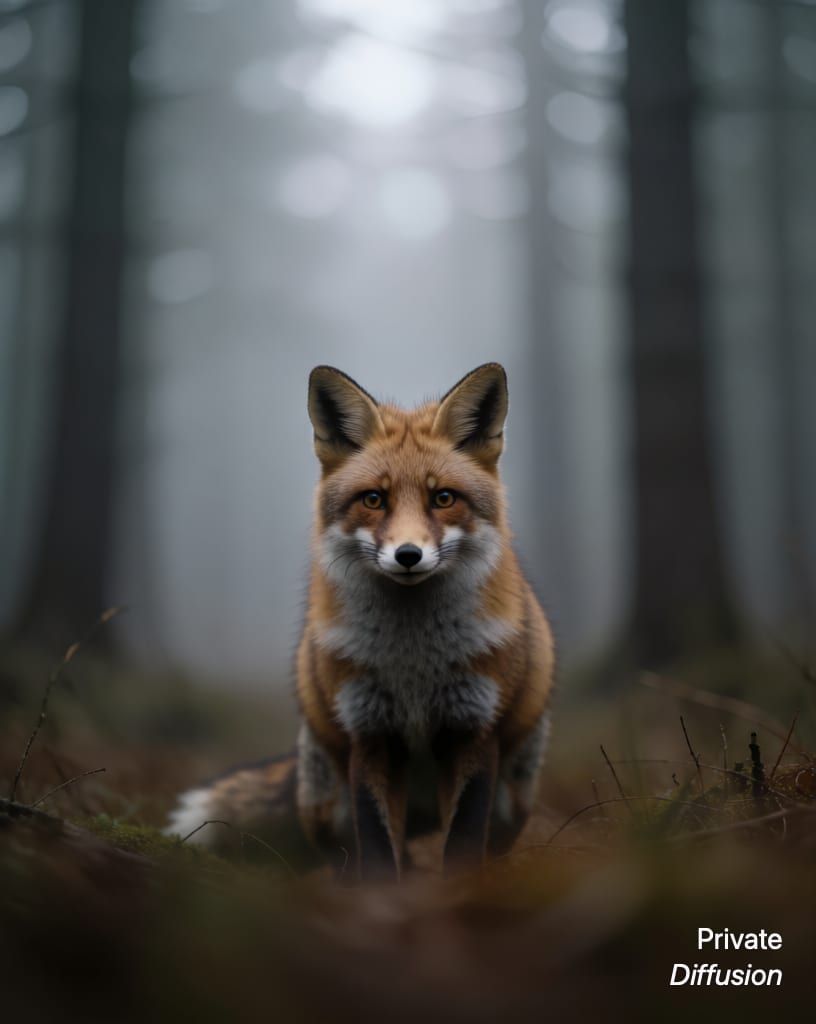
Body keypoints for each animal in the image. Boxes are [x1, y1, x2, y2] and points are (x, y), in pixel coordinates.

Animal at [167, 363, 555, 878]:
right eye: (373, 500)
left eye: (443, 498)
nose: (408, 555)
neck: (414, 664)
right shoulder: (370, 732)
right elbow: (374, 842)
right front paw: (381, 893)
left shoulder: (473, 730)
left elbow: (464, 841)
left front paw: (460, 887)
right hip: (327, 803)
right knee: (349, 852)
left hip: (515, 796)